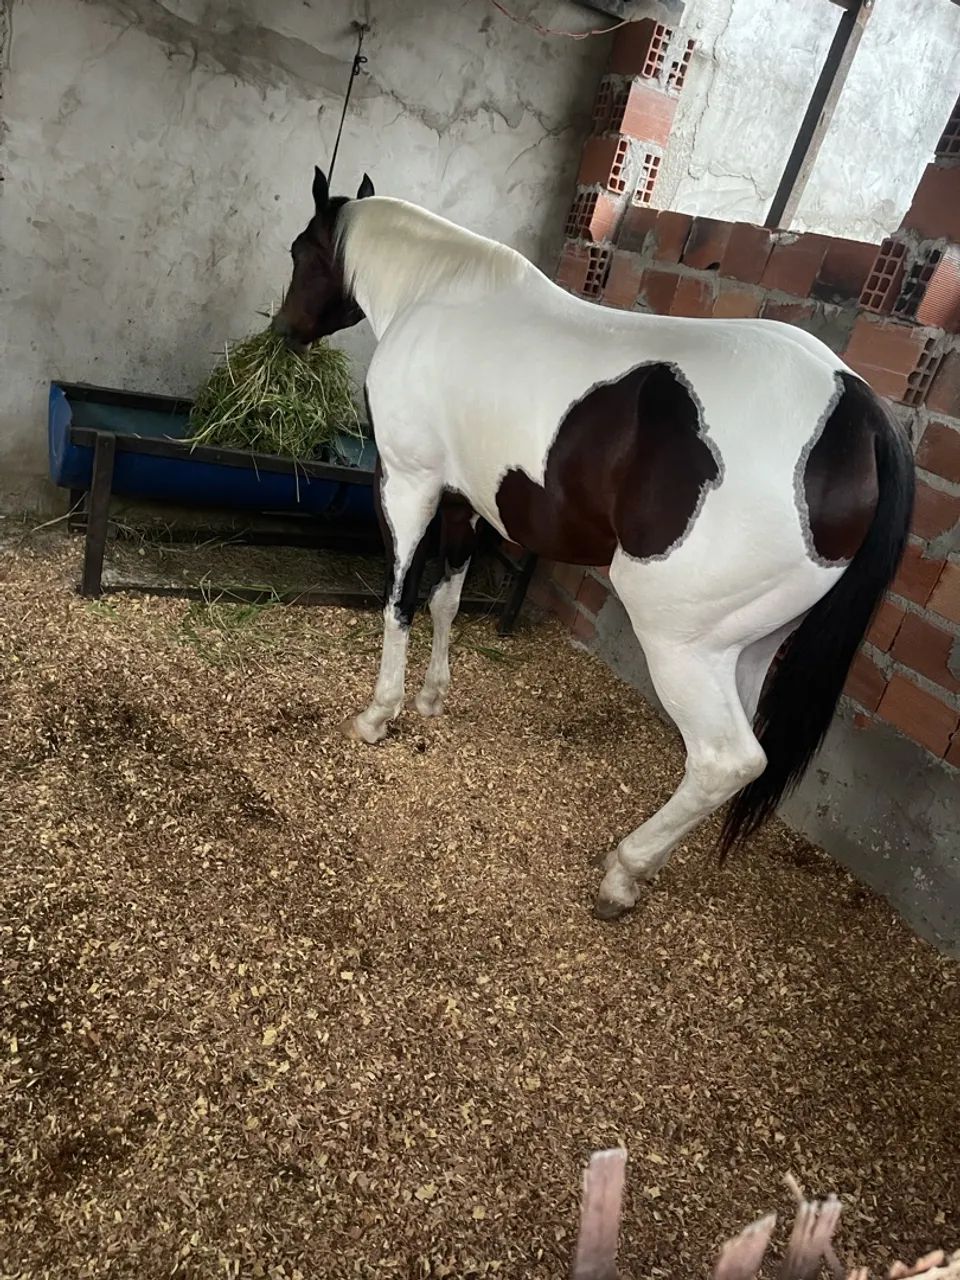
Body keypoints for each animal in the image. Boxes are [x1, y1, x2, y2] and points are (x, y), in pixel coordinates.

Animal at [272, 167, 915, 921]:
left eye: (301, 252)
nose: (284, 332)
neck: (435, 293)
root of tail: (860, 415)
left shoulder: (409, 485)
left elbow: (400, 601)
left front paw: (380, 714)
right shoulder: (464, 502)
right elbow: (445, 603)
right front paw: (431, 699)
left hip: (681, 644)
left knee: (727, 759)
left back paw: (623, 872)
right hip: (745, 647)